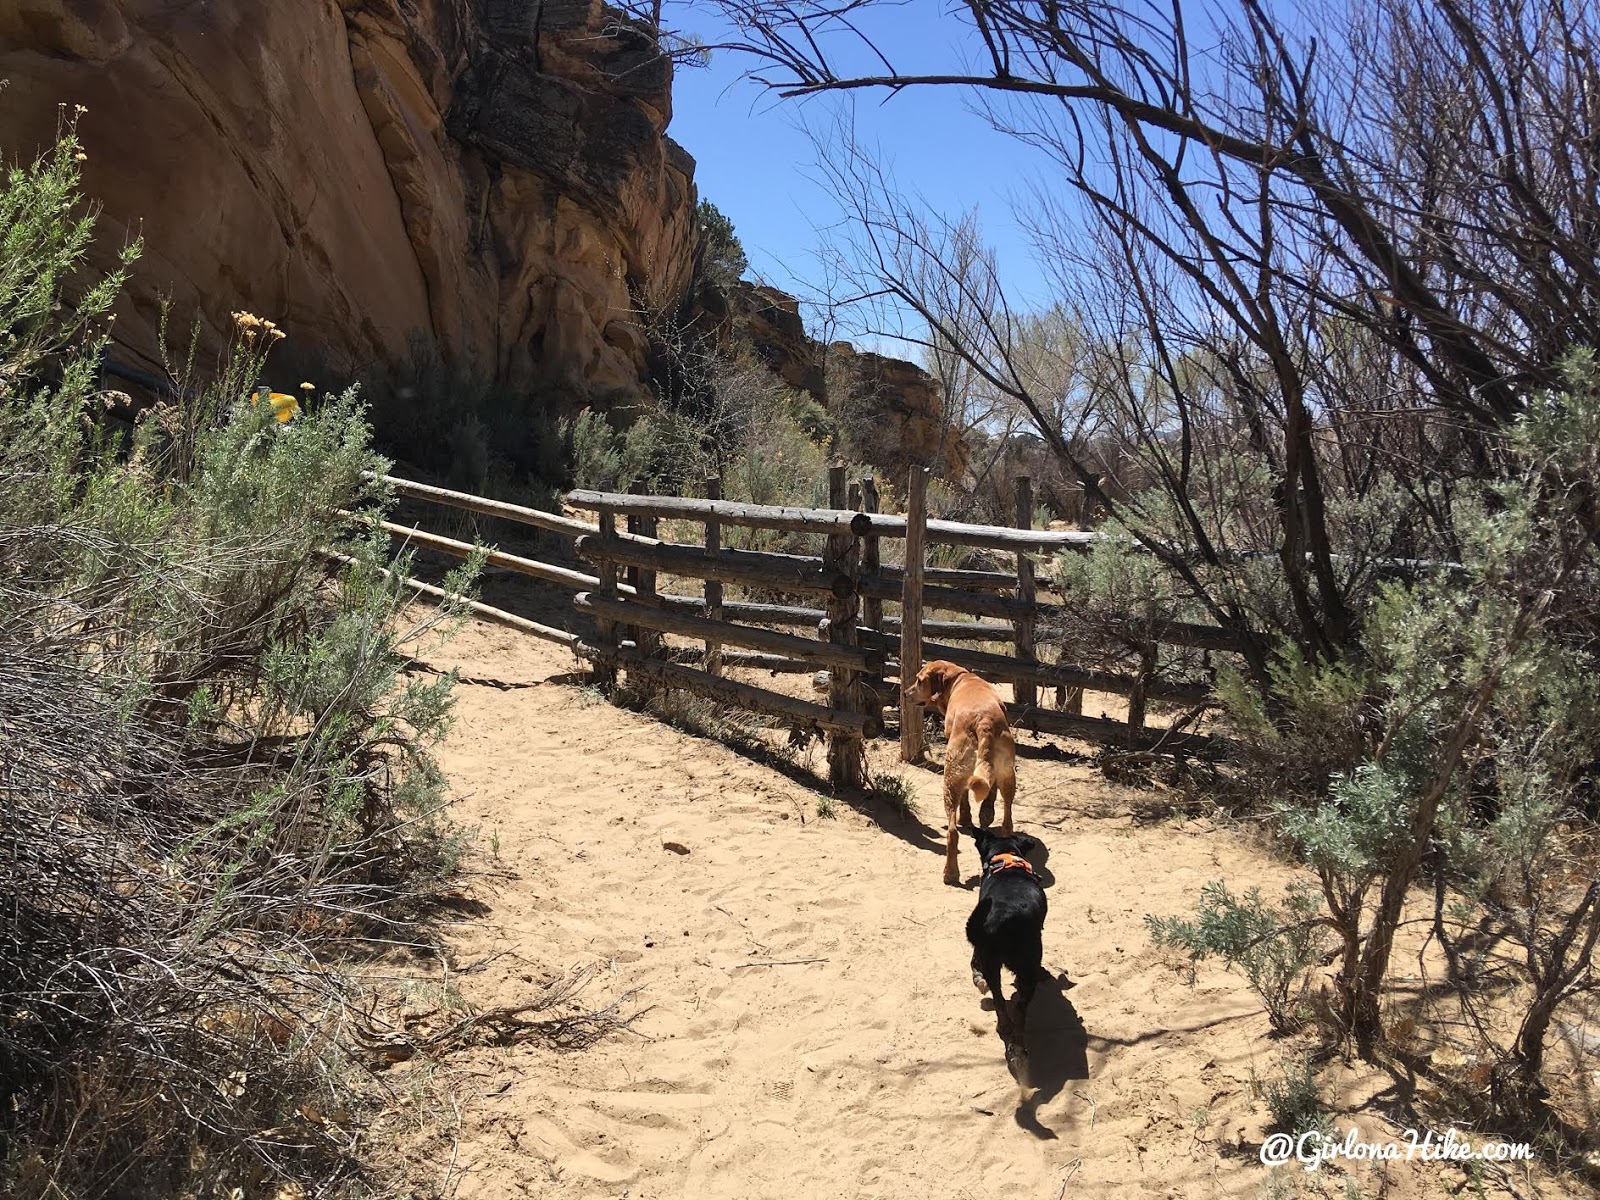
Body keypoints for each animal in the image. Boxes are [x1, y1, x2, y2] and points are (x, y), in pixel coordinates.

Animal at [908, 659, 1017, 883]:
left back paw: (950, 873)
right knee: (1006, 819)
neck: (959, 679)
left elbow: (965, 798)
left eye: (919, 680)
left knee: (952, 832)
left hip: (950, 777)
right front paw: (984, 813)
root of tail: (984, 723)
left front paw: (965, 818)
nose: (905, 693)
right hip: (1007, 774)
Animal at [960, 825, 1049, 1081]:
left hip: (991, 962)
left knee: (1000, 1003)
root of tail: (1002, 920)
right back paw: (1019, 1050)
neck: (1006, 860)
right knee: (1019, 1013)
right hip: (1028, 969)